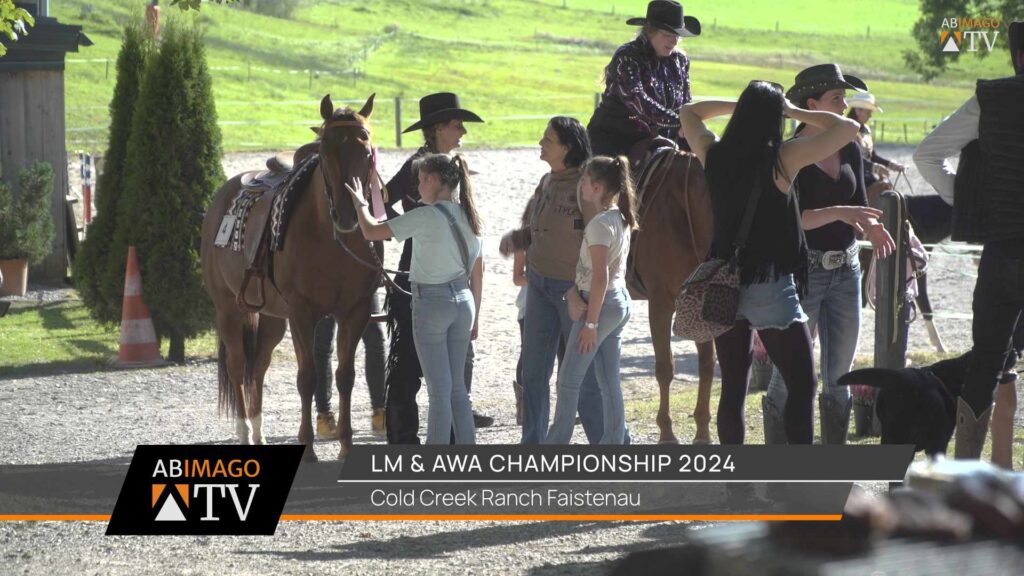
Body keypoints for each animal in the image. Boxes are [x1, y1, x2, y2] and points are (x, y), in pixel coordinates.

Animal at [199, 94, 380, 461]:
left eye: (367, 149)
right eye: (324, 151)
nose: (348, 214)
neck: (331, 239)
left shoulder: (355, 311)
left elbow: (345, 376)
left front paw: (345, 447)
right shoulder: (301, 313)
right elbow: (307, 377)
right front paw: (308, 448)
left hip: (271, 318)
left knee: (258, 367)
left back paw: (259, 435)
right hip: (228, 309)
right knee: (238, 366)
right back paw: (244, 434)